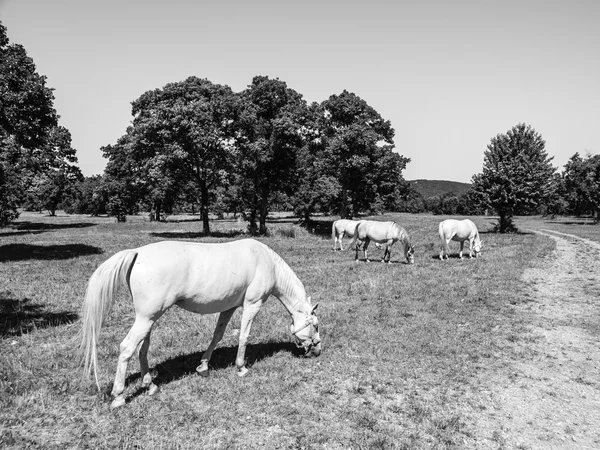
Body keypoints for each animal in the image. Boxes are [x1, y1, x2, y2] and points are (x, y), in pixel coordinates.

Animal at [82, 241, 324, 410]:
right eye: (316, 325)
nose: (317, 350)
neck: (267, 262)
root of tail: (138, 252)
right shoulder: (252, 305)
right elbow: (243, 336)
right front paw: (241, 368)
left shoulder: (229, 307)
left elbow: (217, 335)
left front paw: (203, 366)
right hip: (146, 318)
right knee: (127, 348)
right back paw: (118, 397)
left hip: (148, 318)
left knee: (142, 349)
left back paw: (150, 386)